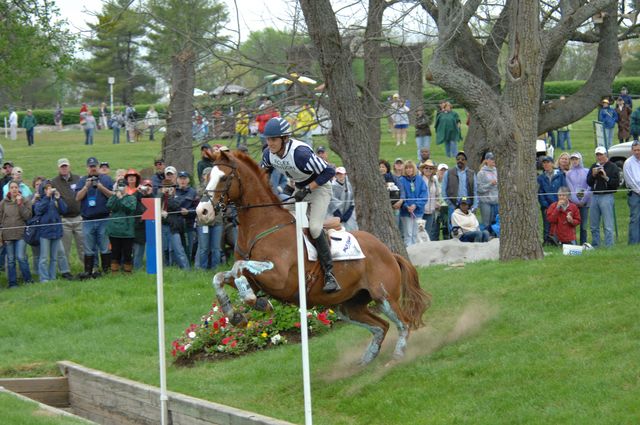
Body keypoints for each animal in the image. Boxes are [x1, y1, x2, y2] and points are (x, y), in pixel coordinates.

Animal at [196, 150, 430, 364]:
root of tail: (389, 253)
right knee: (381, 326)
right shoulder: (256, 280)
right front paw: (236, 316)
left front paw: (258, 303)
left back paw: (397, 357)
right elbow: (220, 277)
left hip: (384, 296)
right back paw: (366, 361)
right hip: (349, 305)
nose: (202, 212)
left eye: (224, 178)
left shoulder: (278, 277)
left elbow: (238, 266)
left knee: (403, 323)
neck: (262, 226)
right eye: (206, 177)